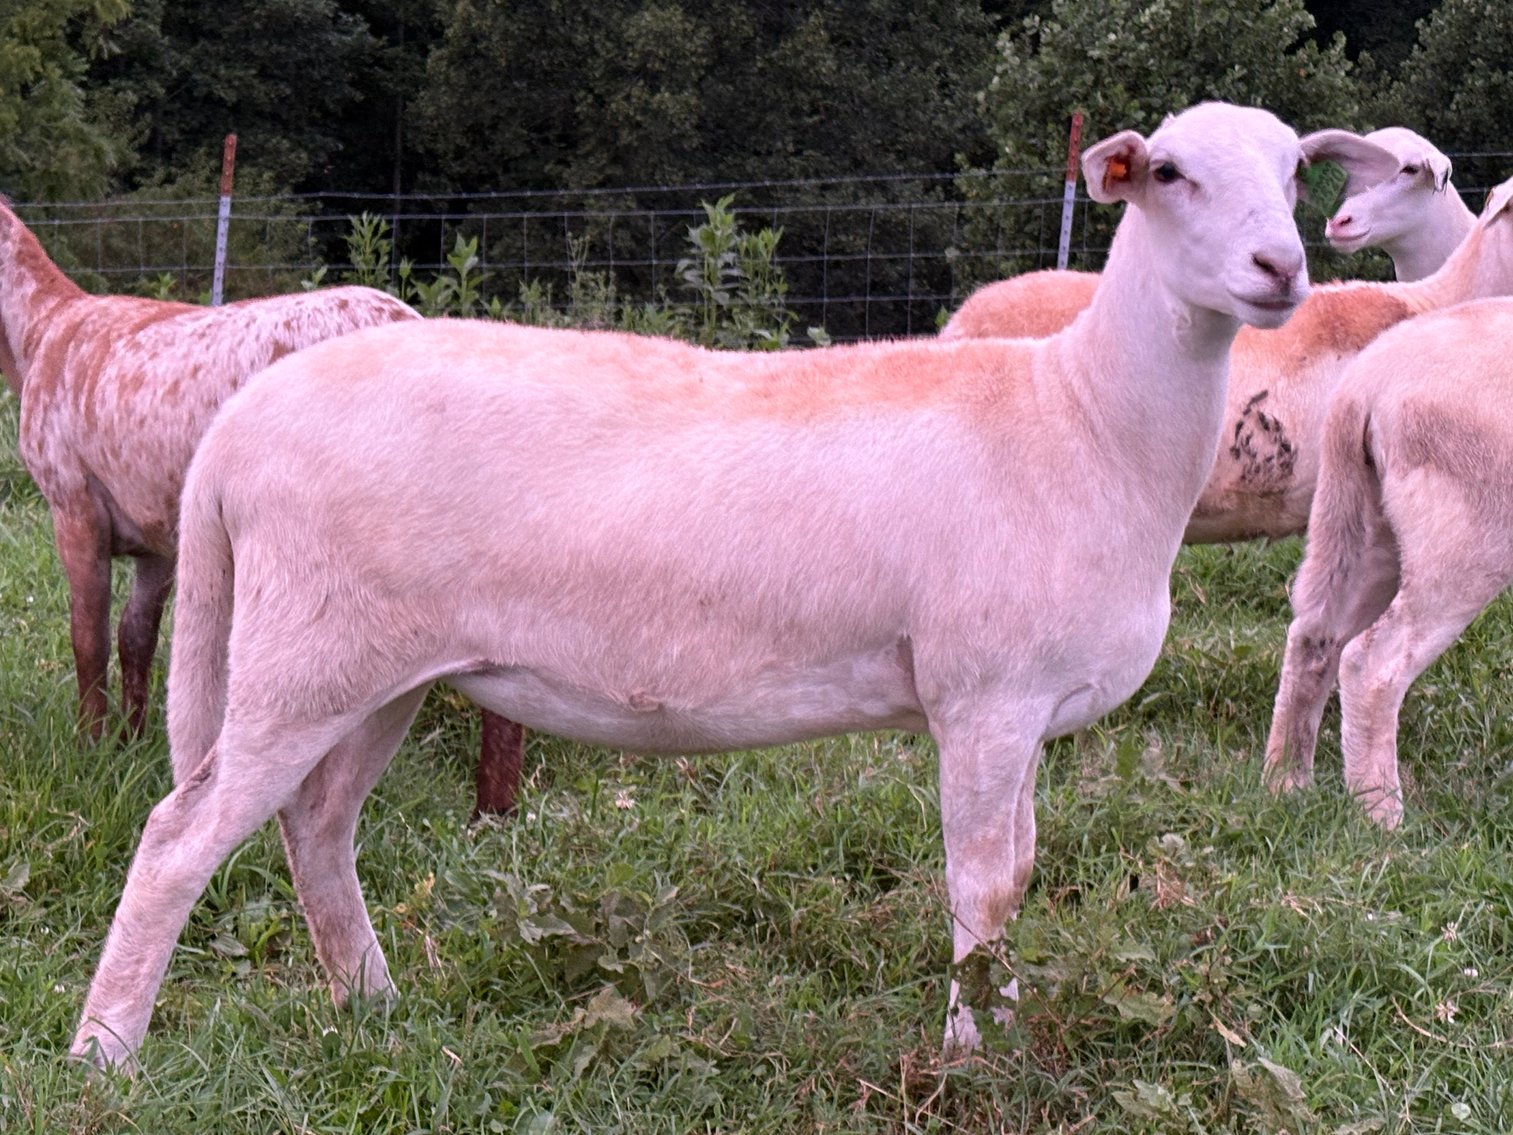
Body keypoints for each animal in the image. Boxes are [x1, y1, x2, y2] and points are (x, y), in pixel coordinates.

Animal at [0, 198, 525, 816]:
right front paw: (129, 741)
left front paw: (91, 746)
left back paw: (489, 811)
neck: (37, 331)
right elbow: (135, 636)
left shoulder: (73, 501)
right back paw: (496, 807)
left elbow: (89, 636)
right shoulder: (157, 530)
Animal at [70, 102, 1311, 1070]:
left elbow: (1016, 874)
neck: (1084, 419)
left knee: (318, 828)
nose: (1283, 270)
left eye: (1297, 169)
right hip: (304, 653)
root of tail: (237, 430)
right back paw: (105, 1051)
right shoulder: (986, 696)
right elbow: (985, 887)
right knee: (179, 838)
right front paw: (970, 1061)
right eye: (1168, 172)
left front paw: (998, 1031)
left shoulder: (1022, 706)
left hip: (378, 666)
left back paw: (372, 1005)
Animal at [1264, 180, 1513, 828]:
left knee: (1315, 638)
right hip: (1466, 538)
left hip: (1364, 525)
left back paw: (1285, 783)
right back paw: (1381, 817)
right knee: (1371, 663)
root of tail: (1365, 383)